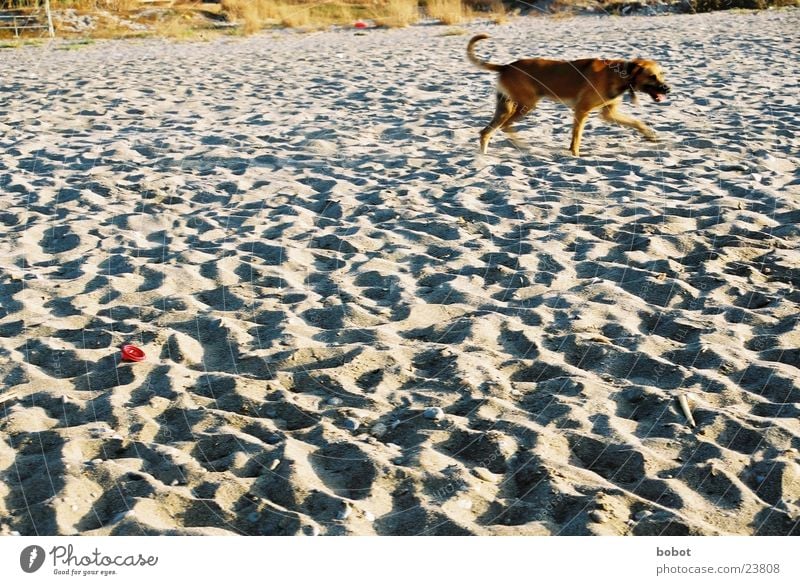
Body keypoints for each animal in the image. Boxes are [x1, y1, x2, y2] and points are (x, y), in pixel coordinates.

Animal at [466, 34, 672, 155]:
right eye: (652, 76)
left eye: (663, 74)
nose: (668, 89)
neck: (620, 74)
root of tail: (506, 66)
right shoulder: (581, 111)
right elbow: (576, 137)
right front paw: (575, 154)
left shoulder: (609, 113)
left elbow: (637, 122)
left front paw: (650, 135)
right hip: (525, 105)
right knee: (503, 127)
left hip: (506, 107)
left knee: (488, 131)